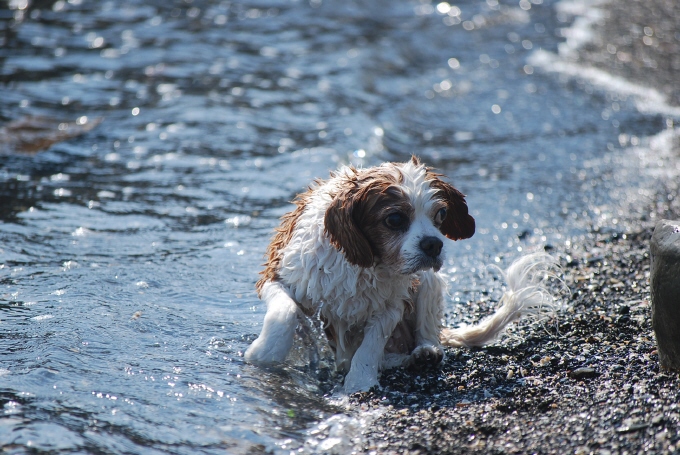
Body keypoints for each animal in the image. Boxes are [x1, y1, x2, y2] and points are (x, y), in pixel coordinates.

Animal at [243, 157, 556, 392]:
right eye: (394, 219)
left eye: (441, 215)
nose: (434, 244)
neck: (366, 263)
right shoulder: (277, 275)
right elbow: (284, 314)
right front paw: (263, 354)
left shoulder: (393, 303)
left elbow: (371, 345)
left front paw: (359, 383)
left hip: (429, 281)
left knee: (425, 331)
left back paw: (424, 353)